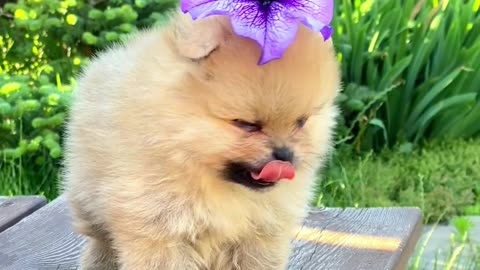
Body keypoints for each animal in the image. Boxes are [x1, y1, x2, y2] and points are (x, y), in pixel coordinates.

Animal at [62, 9, 342, 270]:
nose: (284, 155)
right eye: (247, 124)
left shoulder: (260, 235)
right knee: (101, 241)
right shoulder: (159, 229)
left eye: (301, 122)